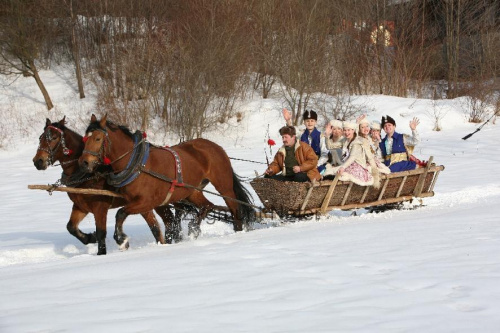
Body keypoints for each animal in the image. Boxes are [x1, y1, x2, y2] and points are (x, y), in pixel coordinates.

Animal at [31, 116, 180, 254]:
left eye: (54, 137)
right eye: (41, 138)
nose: (38, 161)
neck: (86, 173)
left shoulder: (100, 207)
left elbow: (101, 233)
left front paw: (103, 251)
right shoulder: (80, 206)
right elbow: (71, 227)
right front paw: (89, 238)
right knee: (162, 224)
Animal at [79, 113, 256, 239]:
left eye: (97, 138)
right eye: (85, 139)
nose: (84, 162)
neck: (136, 164)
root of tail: (216, 147)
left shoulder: (148, 201)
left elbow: (120, 213)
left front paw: (121, 238)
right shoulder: (147, 204)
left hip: (224, 186)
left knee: (234, 208)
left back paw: (238, 230)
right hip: (193, 191)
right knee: (207, 206)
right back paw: (194, 227)